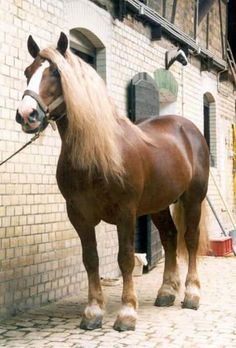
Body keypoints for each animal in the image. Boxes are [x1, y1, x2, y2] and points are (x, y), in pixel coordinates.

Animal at [15, 32, 209, 332]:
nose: (27, 115)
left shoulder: (125, 213)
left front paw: (127, 313)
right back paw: (166, 292)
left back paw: (191, 294)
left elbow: (125, 258)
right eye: (28, 72)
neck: (95, 154)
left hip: (193, 200)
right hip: (158, 205)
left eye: (56, 72)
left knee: (189, 238)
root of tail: (188, 129)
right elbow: (91, 259)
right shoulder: (78, 215)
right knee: (169, 237)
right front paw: (93, 312)